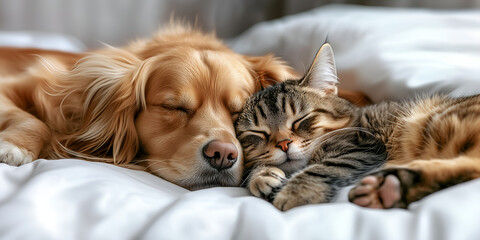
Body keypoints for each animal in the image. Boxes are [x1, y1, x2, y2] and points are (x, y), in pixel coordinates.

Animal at [234, 44, 480, 211]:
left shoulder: (362, 146)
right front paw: (262, 176)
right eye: (258, 133)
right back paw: (390, 188)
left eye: (300, 120)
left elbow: (322, 168)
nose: (284, 144)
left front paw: (296, 193)